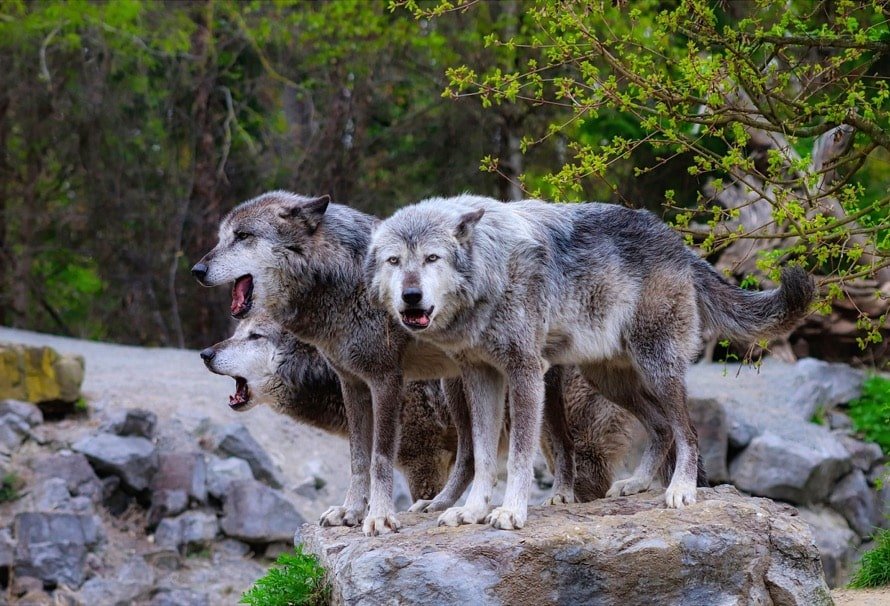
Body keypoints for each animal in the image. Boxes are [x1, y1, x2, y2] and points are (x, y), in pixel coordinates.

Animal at [366, 194, 814, 529]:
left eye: (432, 258)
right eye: (394, 261)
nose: (410, 296)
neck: (493, 268)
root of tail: (678, 243)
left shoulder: (525, 373)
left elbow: (518, 457)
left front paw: (511, 511)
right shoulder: (481, 376)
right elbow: (484, 455)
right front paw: (472, 511)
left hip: (657, 367)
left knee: (687, 432)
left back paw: (680, 490)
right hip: (609, 381)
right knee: (662, 428)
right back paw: (637, 484)